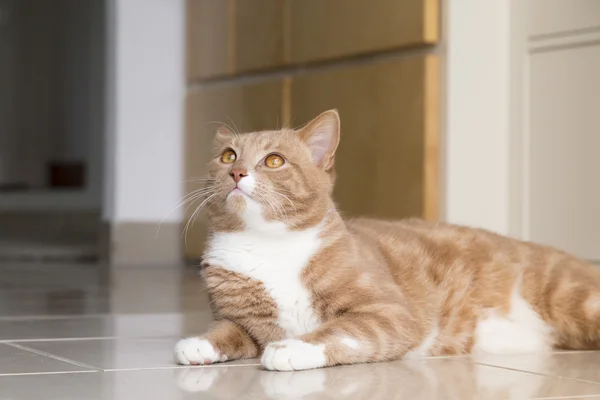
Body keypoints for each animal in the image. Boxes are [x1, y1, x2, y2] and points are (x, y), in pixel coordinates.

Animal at [173, 109, 600, 372]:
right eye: (228, 156)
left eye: (274, 160)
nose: (237, 173)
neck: (268, 246)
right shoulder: (240, 319)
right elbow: (227, 330)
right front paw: (199, 343)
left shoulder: (388, 312)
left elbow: (344, 330)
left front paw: (294, 347)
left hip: (572, 298)